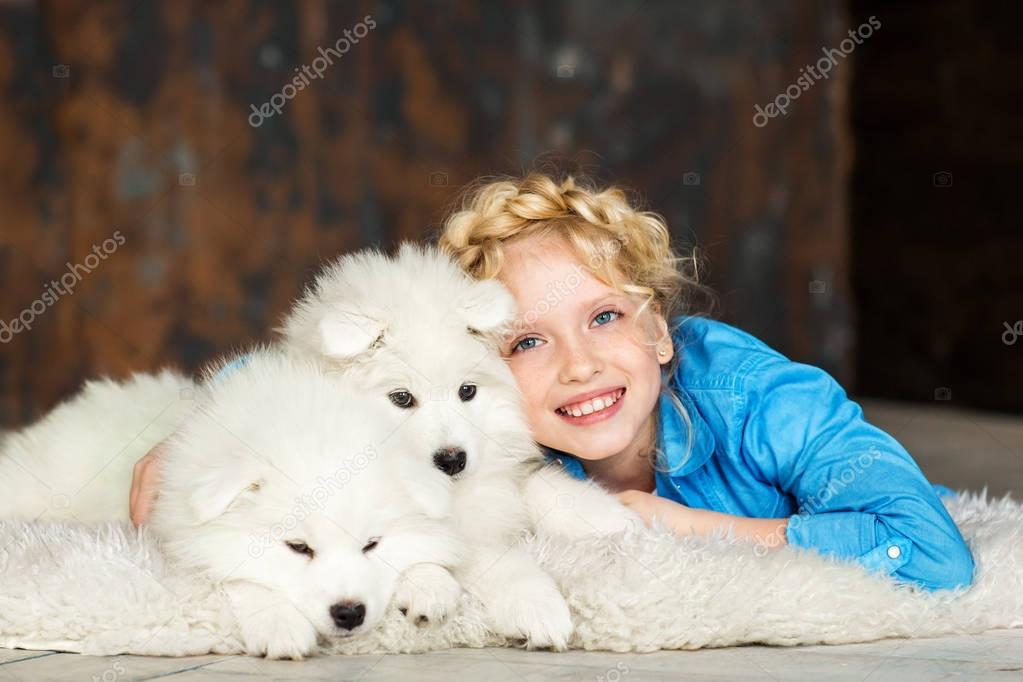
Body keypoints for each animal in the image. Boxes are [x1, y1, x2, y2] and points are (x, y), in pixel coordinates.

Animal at [0, 349, 460, 658]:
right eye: (298, 547)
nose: (349, 613)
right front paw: (280, 625)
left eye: (371, 545)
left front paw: (431, 582)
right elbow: (239, 577)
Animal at [276, 242, 634, 650]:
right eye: (402, 398)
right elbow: (494, 558)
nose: (452, 461)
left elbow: (539, 486)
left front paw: (614, 518)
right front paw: (537, 606)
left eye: (467, 391)